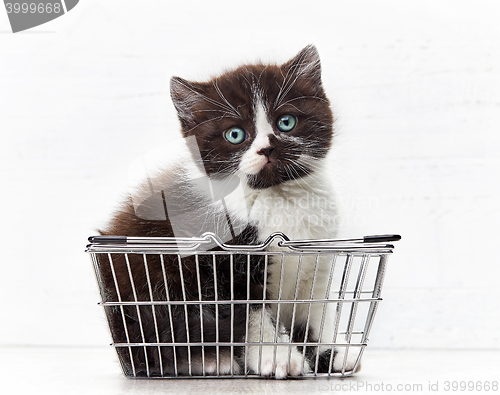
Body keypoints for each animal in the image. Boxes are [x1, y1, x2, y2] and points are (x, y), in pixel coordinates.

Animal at [97, 44, 356, 378]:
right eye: (235, 134)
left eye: (286, 122)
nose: (267, 148)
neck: (277, 195)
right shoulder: (228, 263)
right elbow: (251, 313)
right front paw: (277, 356)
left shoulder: (316, 259)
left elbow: (316, 311)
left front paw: (329, 354)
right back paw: (208, 360)